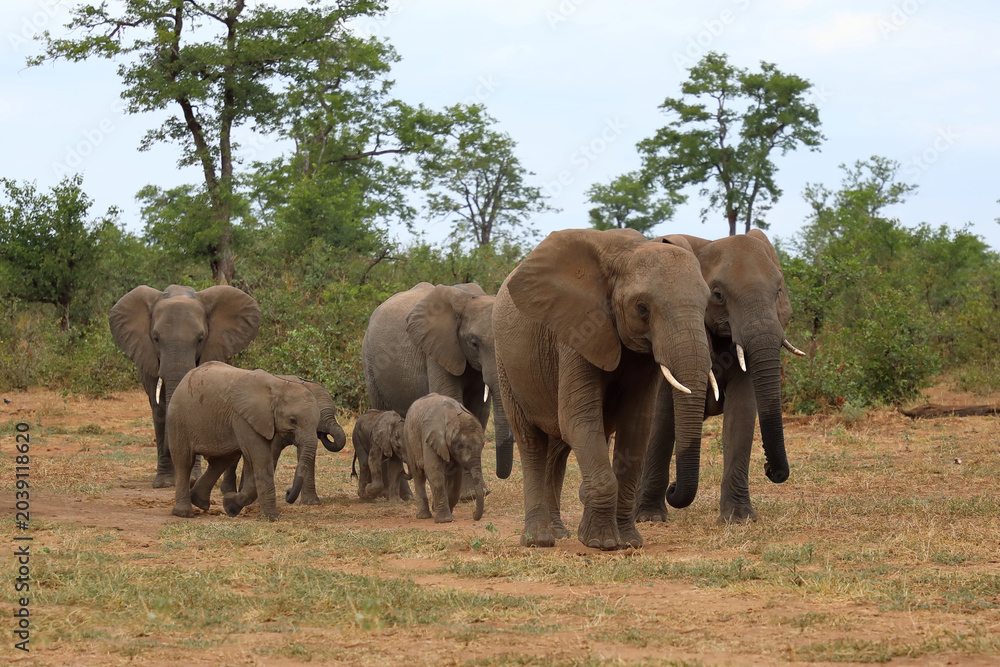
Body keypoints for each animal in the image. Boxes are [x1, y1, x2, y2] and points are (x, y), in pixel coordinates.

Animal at [166, 362, 320, 521]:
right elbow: (260, 457)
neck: (280, 385)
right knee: (184, 461)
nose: (288, 492)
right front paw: (272, 518)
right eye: (293, 420)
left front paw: (230, 506)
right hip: (178, 420)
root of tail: (185, 378)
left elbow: (256, 461)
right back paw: (183, 513)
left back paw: (199, 502)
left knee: (222, 461)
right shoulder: (243, 418)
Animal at [362, 282, 514, 491]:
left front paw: (477, 491)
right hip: (370, 364)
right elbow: (450, 398)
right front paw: (469, 494)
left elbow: (479, 410)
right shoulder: (437, 350)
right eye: (474, 343)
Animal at [404, 393, 486, 523]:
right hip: (409, 438)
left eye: (483, 445)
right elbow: (433, 471)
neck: (452, 416)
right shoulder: (429, 437)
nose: (473, 514)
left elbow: (456, 476)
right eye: (460, 446)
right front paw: (445, 520)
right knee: (418, 474)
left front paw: (447, 513)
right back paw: (423, 516)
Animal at [494, 228, 713, 550]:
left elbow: (637, 425)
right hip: (506, 367)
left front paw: (629, 542)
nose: (672, 489)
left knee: (558, 448)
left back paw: (560, 533)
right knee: (532, 442)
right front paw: (602, 543)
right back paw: (539, 540)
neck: (625, 255)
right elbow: (580, 418)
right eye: (642, 308)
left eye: (708, 303)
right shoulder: (577, 329)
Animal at [636, 230, 800, 524]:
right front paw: (650, 517)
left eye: (778, 291)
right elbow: (662, 415)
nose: (770, 469)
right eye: (718, 295)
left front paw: (739, 519)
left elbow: (741, 412)